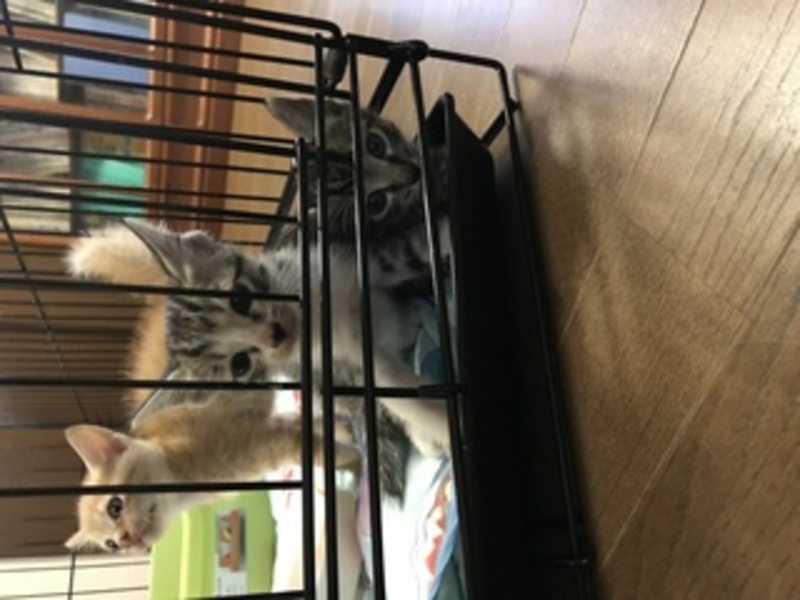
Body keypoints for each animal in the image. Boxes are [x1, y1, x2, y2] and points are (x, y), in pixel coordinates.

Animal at [64, 385, 341, 554]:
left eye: (115, 506)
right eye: (111, 544)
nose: (126, 541)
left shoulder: (253, 437)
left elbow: (304, 443)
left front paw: (343, 457)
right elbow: (299, 426)